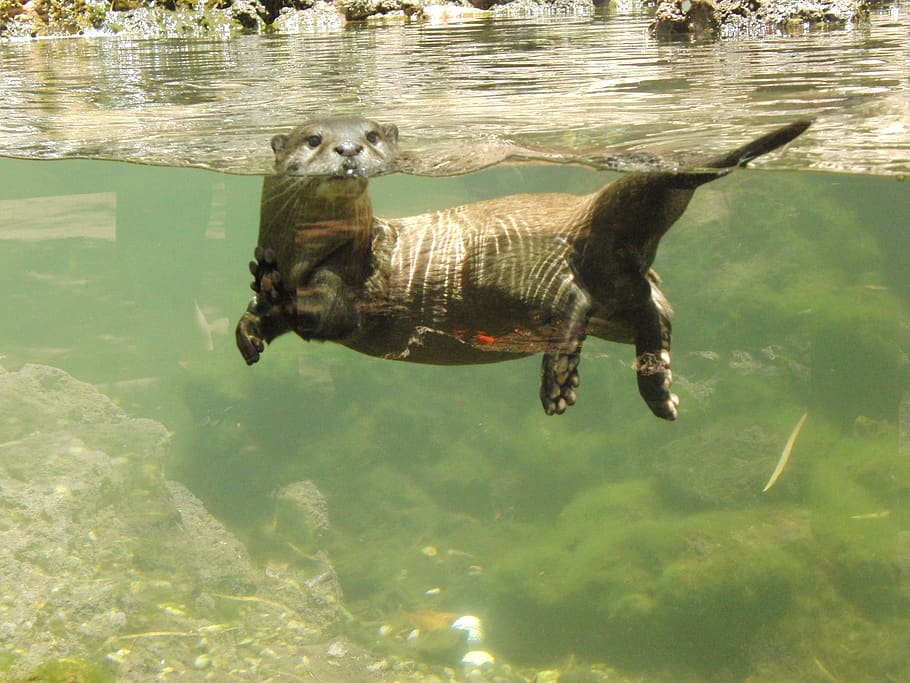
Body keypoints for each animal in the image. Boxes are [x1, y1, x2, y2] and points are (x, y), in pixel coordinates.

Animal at [236, 116, 811, 419]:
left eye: (372, 136)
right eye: (313, 139)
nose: (348, 149)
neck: (303, 253)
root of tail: (589, 214)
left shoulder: (349, 275)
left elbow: (326, 314)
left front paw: (277, 292)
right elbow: (261, 316)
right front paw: (250, 332)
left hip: (517, 268)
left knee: (573, 301)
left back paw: (558, 384)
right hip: (621, 293)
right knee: (654, 312)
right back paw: (660, 392)